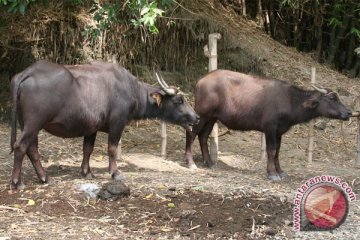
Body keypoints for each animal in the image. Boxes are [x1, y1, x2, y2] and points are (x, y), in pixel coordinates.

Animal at [9, 60, 200, 189]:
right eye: (179, 100)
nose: (196, 117)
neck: (131, 91)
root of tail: (27, 73)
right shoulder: (117, 124)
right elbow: (112, 149)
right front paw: (115, 173)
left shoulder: (90, 128)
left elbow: (88, 149)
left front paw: (87, 172)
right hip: (34, 123)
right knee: (21, 146)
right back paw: (18, 182)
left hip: (25, 123)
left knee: (32, 149)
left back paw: (44, 178)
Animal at [186, 69, 352, 180]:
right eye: (332, 99)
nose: (349, 112)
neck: (290, 100)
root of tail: (201, 81)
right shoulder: (270, 128)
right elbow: (271, 150)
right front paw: (272, 173)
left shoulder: (279, 131)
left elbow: (278, 151)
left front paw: (280, 171)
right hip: (201, 114)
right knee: (191, 133)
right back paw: (190, 163)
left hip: (212, 117)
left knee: (203, 136)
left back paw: (209, 162)